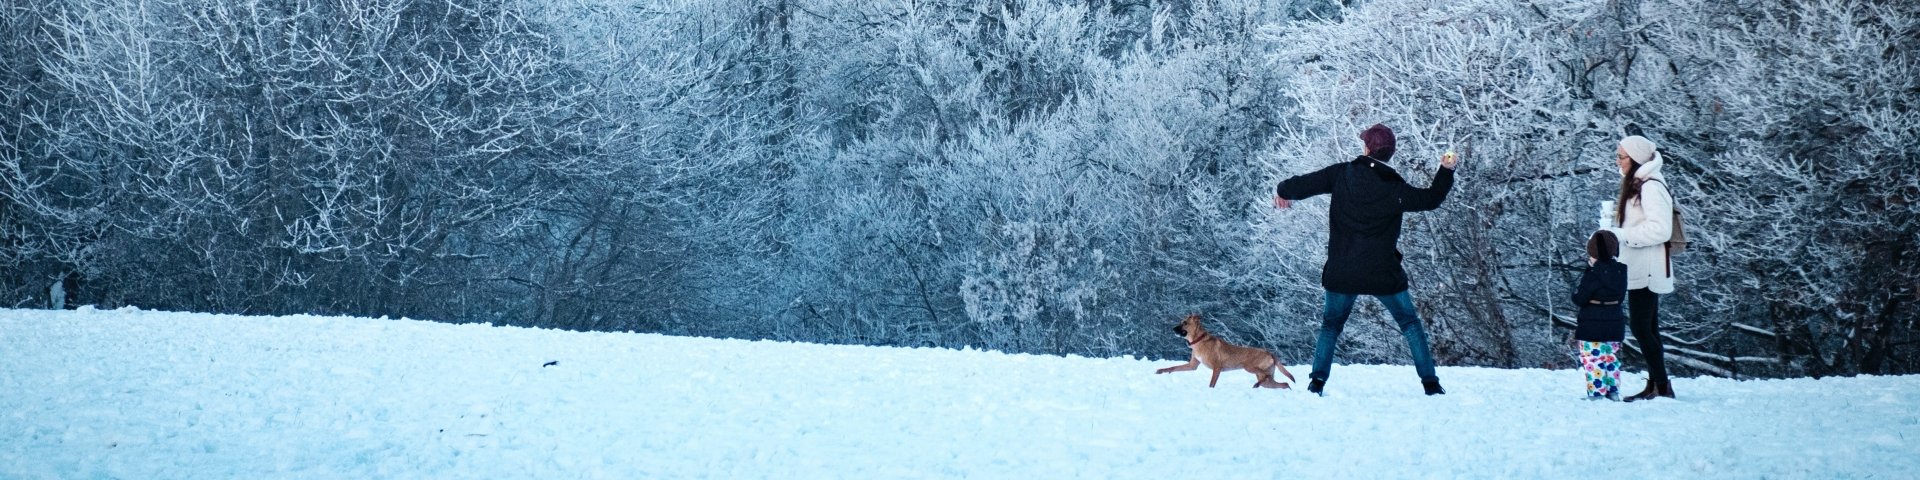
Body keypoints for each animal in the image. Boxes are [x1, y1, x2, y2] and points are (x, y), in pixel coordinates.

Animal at [1144, 312, 1297, 387]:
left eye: (1185, 323)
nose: (1172, 329)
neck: (1199, 340)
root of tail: (1270, 352)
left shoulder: (1217, 368)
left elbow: (1211, 384)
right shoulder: (1192, 365)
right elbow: (1173, 367)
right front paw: (1161, 371)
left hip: (1250, 367)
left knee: (1267, 377)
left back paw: (1257, 384)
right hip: (1266, 379)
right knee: (1284, 384)